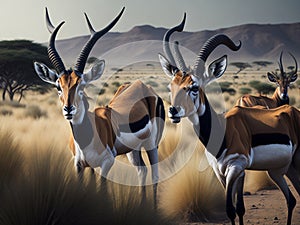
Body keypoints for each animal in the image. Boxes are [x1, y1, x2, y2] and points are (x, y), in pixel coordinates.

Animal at [33, 8, 165, 206]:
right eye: (58, 86)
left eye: (81, 85)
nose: (68, 109)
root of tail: (142, 85)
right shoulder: (80, 166)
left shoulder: (106, 163)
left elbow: (102, 191)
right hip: (133, 150)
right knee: (142, 170)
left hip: (151, 144)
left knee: (155, 175)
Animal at [158, 16, 298, 225]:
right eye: (171, 86)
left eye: (194, 86)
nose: (173, 111)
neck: (222, 131)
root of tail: (292, 111)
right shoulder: (222, 173)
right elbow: (236, 209)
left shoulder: (235, 168)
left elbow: (232, 209)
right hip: (280, 170)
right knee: (292, 199)